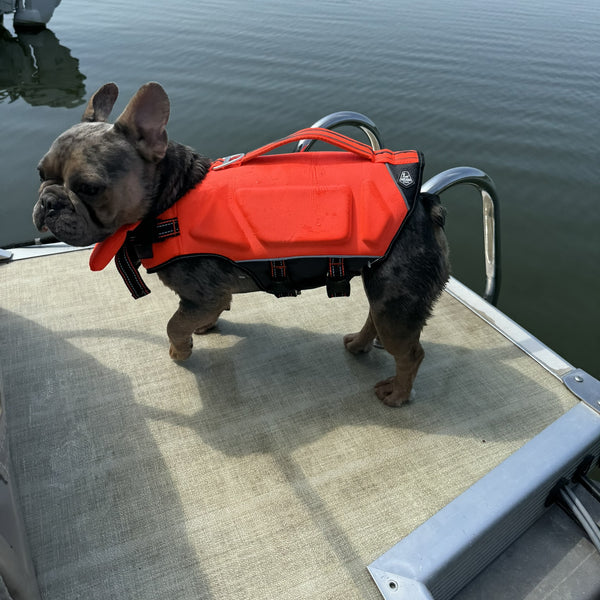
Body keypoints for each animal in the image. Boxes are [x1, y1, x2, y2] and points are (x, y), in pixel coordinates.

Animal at [31, 82, 446, 406]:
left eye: (89, 188)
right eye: (40, 174)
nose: (48, 202)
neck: (170, 197)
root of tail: (424, 202)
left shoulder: (202, 295)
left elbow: (173, 324)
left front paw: (180, 350)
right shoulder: (210, 297)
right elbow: (197, 315)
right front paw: (203, 329)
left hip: (397, 300)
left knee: (411, 353)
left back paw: (397, 394)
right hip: (386, 291)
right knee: (375, 318)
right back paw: (359, 345)